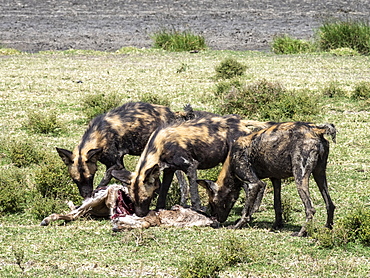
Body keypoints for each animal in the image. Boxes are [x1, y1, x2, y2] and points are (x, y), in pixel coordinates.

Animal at [56, 102, 195, 200]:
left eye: (90, 177)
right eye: (75, 180)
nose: (86, 195)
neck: (98, 133)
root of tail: (174, 114)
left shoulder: (114, 164)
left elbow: (104, 180)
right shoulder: (118, 164)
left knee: (184, 185)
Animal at [112, 115, 272, 217]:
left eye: (146, 199)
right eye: (132, 201)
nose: (140, 215)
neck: (160, 146)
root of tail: (242, 123)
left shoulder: (190, 166)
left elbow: (194, 193)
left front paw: (197, 210)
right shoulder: (169, 170)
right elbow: (163, 193)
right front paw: (159, 210)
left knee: (252, 185)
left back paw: (250, 210)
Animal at [198, 121, 336, 237]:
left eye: (212, 203)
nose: (214, 221)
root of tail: (316, 130)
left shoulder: (254, 184)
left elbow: (246, 211)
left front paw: (237, 225)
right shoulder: (275, 179)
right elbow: (277, 205)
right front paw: (277, 225)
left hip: (300, 178)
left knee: (310, 209)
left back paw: (301, 233)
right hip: (319, 175)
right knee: (330, 204)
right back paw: (327, 228)